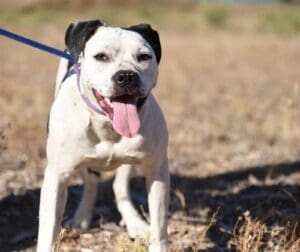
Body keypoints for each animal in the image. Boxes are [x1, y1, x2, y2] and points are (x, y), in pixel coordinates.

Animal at [36, 20, 170, 252]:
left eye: (144, 57)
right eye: (101, 57)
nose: (127, 76)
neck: (107, 125)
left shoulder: (157, 171)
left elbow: (159, 225)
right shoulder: (57, 174)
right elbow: (49, 227)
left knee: (120, 187)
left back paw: (135, 222)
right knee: (91, 183)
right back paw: (81, 217)